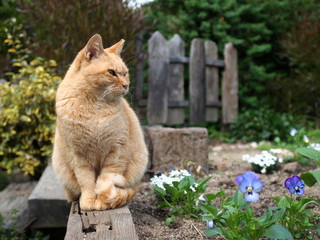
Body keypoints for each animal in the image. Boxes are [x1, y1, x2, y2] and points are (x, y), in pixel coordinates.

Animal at [51, 33, 149, 210]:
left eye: (125, 73)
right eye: (111, 72)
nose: (126, 85)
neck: (94, 107)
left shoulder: (117, 151)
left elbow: (106, 178)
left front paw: (102, 202)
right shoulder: (78, 155)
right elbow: (87, 182)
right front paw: (89, 202)